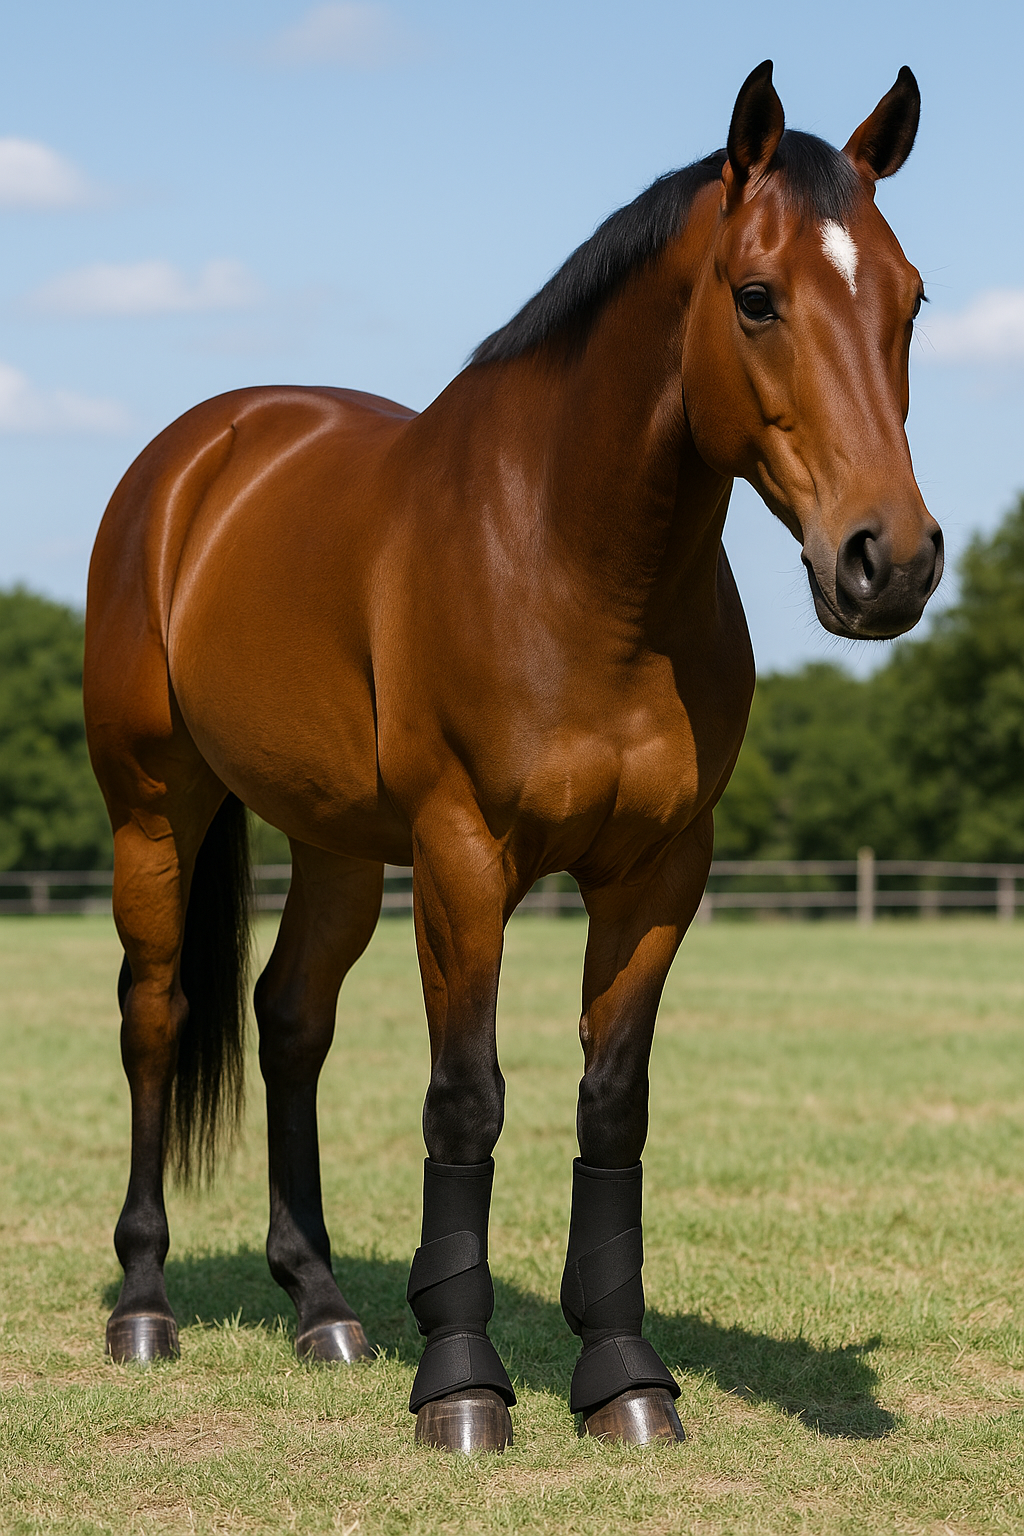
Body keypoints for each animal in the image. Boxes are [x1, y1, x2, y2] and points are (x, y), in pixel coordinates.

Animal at [84, 60, 942, 1452]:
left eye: (910, 298)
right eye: (756, 296)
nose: (891, 562)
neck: (572, 563)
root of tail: (197, 456)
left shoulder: (658, 874)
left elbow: (611, 1102)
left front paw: (626, 1378)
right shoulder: (462, 859)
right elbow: (465, 1099)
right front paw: (463, 1384)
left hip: (331, 843)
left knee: (289, 1018)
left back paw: (322, 1307)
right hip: (156, 808)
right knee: (156, 1015)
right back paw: (144, 1305)